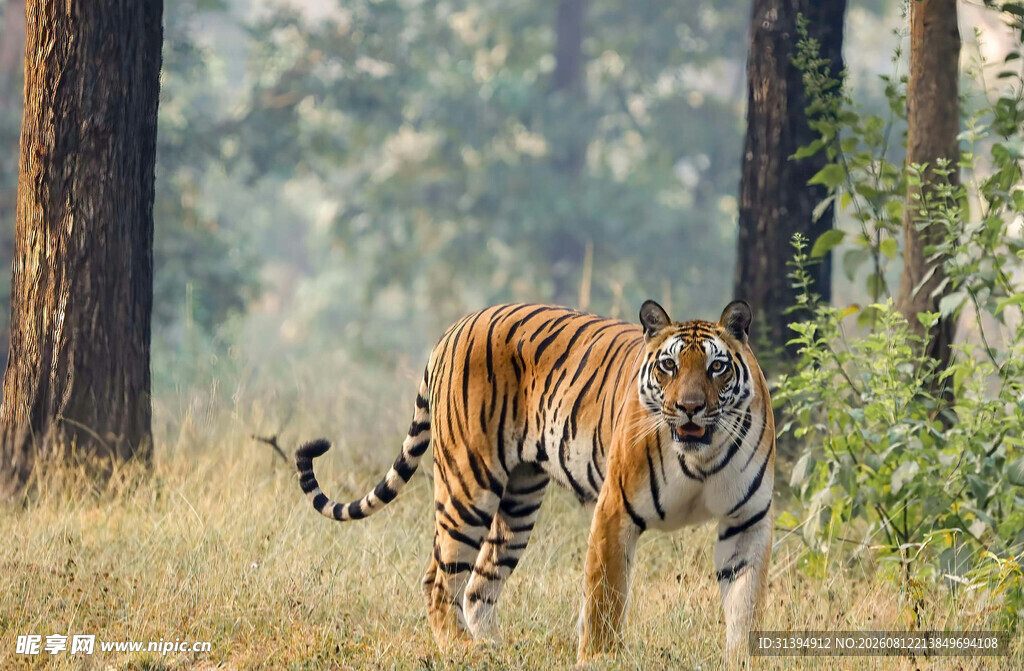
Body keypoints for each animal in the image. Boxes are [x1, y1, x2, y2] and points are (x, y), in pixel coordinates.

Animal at [295, 300, 775, 663]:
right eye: (669, 366)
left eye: (716, 367)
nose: (690, 408)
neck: (700, 456)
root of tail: (454, 327)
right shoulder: (615, 510)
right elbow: (605, 599)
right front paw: (600, 660)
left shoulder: (747, 521)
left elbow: (745, 604)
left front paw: (742, 660)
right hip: (468, 486)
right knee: (439, 578)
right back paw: (461, 650)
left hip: (519, 501)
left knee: (479, 583)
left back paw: (493, 649)